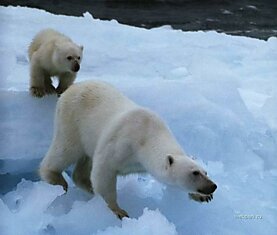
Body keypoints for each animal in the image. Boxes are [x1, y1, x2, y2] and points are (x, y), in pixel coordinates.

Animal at [38, 81, 217, 218]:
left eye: (205, 171)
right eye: (194, 173)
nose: (213, 186)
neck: (147, 134)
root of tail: (72, 88)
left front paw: (202, 197)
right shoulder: (121, 142)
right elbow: (104, 172)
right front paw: (118, 211)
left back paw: (87, 186)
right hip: (72, 122)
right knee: (65, 150)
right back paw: (57, 180)